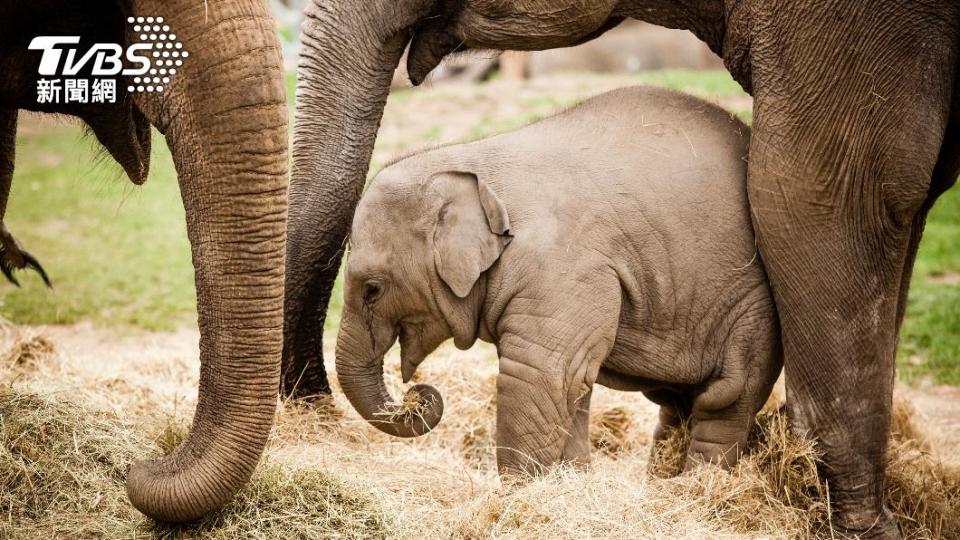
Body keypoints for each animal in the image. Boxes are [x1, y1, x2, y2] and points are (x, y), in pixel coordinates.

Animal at [336, 86, 780, 474]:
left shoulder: (562, 270)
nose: (418, 394)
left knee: (727, 396)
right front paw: (570, 481)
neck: (470, 161)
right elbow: (574, 384)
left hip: (751, 308)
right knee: (678, 402)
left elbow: (543, 375)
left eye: (372, 289)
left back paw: (696, 489)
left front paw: (522, 496)